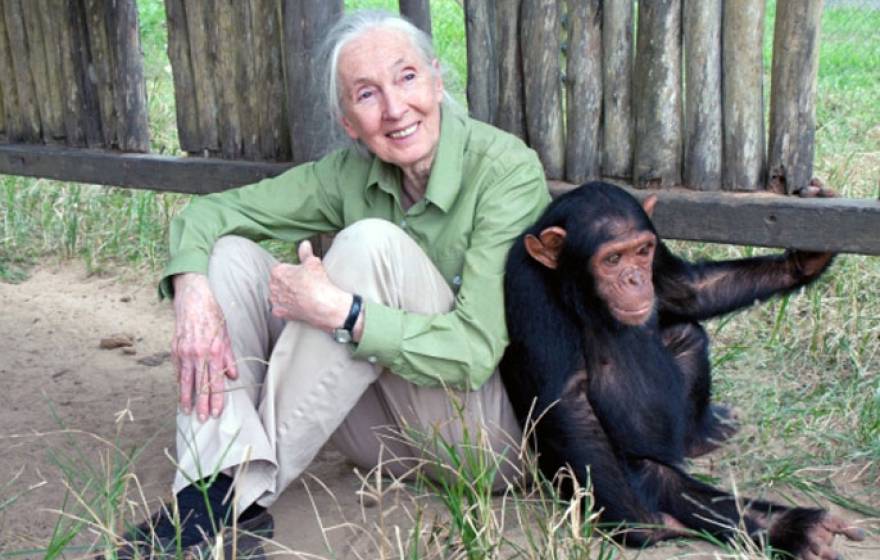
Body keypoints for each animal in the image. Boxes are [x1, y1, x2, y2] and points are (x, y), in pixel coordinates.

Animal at [502, 183, 868, 556]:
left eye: (642, 251)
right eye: (612, 260)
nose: (635, 279)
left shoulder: (658, 252)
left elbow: (687, 291)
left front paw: (804, 260)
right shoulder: (530, 289)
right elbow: (567, 402)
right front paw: (640, 523)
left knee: (686, 335)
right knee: (660, 480)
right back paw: (785, 527)